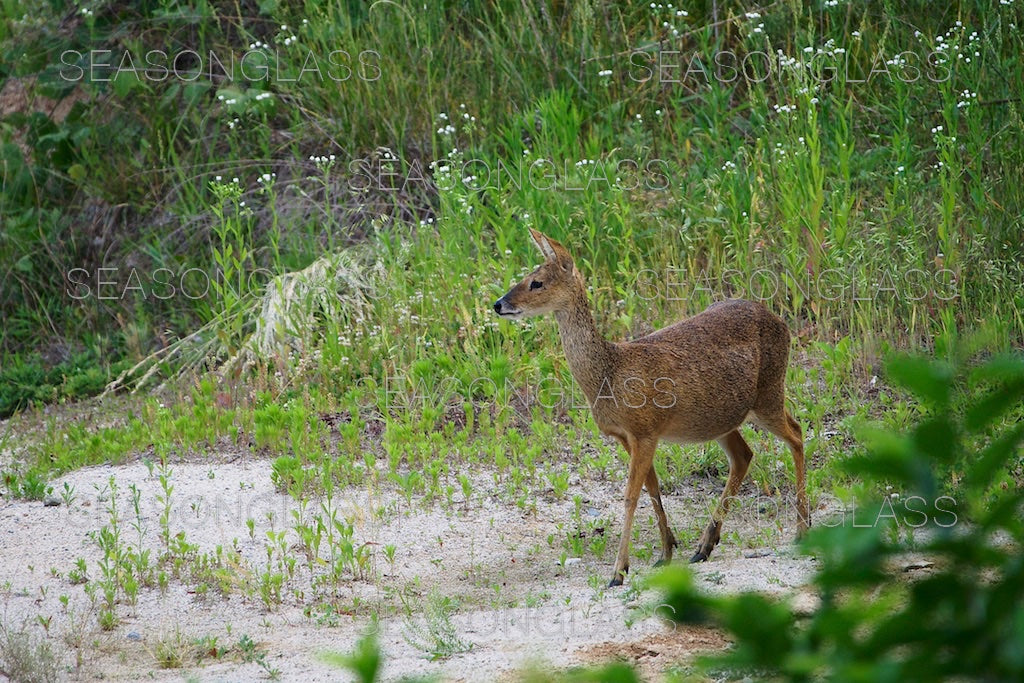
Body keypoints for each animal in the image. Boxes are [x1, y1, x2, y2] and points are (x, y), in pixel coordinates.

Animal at [491, 229, 811, 589]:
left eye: (537, 282)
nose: (499, 304)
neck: (609, 374)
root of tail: (783, 323)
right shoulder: (629, 435)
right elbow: (652, 488)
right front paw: (666, 551)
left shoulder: (645, 430)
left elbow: (631, 496)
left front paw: (619, 570)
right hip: (721, 418)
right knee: (745, 455)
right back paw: (705, 545)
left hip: (768, 394)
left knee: (797, 433)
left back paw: (802, 529)